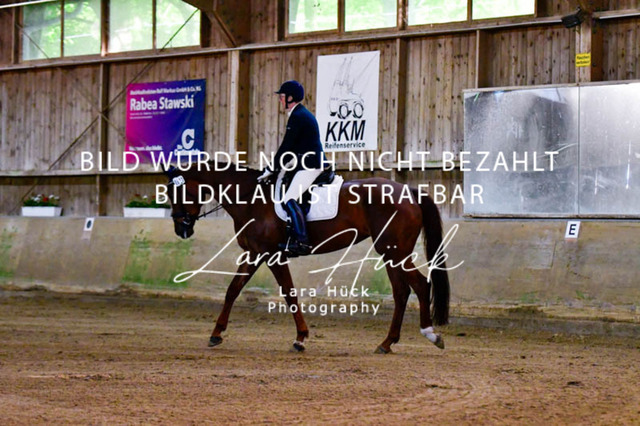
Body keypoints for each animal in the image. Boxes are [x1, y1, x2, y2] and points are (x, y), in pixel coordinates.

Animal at [165, 162, 450, 354]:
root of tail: (408, 191)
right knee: (402, 292)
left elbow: (289, 293)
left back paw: (431, 335)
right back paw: (387, 343)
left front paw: (300, 338)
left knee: (420, 284)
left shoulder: (270, 254)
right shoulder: (253, 253)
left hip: (394, 251)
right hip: (391, 253)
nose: (181, 229)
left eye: (178, 193)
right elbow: (233, 290)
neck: (251, 198)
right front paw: (216, 335)